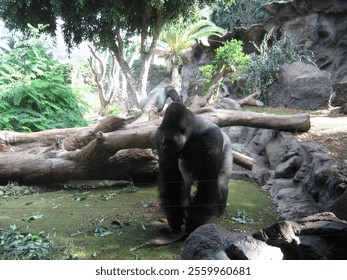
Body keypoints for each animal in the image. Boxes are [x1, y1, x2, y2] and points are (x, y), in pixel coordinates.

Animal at [156, 101, 234, 233]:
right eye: (163, 132)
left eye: (167, 132)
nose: (162, 143)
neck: (191, 134)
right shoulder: (158, 135)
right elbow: (171, 180)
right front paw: (175, 219)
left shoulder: (212, 140)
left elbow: (208, 183)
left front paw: (192, 225)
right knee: (187, 182)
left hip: (227, 147)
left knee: (221, 181)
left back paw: (218, 211)